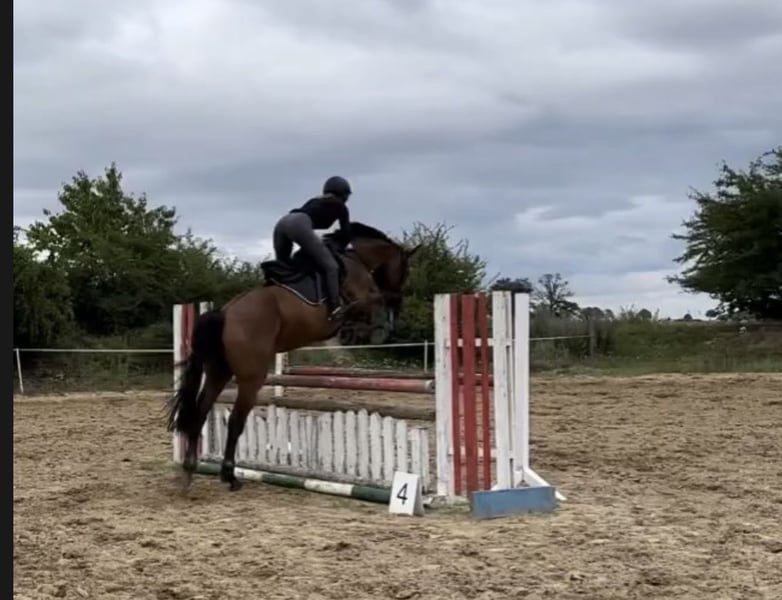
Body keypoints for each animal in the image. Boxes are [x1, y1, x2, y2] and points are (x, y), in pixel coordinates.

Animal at [166, 222, 420, 491]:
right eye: (405, 271)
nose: (398, 300)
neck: (357, 259)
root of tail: (225, 314)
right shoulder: (362, 299)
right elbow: (373, 303)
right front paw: (375, 330)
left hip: (218, 372)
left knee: (200, 413)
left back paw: (189, 470)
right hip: (251, 378)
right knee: (235, 421)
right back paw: (229, 476)